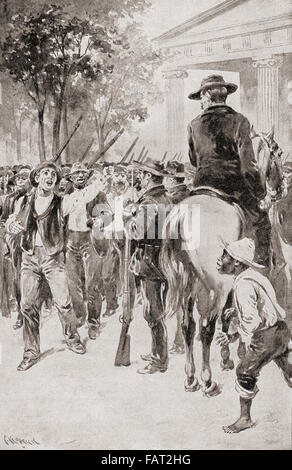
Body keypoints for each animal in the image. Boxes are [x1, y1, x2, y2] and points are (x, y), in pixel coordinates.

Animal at [160, 127, 286, 396]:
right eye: (277, 153)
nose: (280, 188)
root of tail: (182, 214)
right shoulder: (233, 281)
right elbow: (234, 315)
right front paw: (234, 354)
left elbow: (229, 316)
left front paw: (228, 354)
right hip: (217, 284)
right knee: (206, 325)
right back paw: (207, 381)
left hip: (189, 280)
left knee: (188, 324)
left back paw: (190, 377)